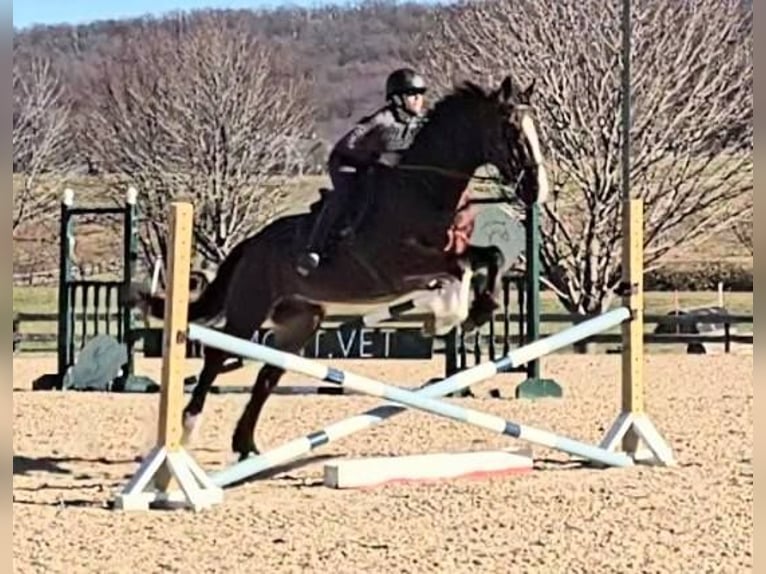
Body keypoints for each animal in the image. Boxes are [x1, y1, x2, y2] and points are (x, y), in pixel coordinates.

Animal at [136, 74, 550, 460]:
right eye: (512, 131)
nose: (536, 190)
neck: (427, 189)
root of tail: (251, 245)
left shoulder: (453, 252)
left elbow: (491, 256)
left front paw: (477, 311)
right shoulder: (401, 264)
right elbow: (461, 268)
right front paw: (454, 314)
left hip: (303, 320)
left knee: (269, 373)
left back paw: (247, 445)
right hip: (248, 308)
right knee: (216, 357)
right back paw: (187, 429)